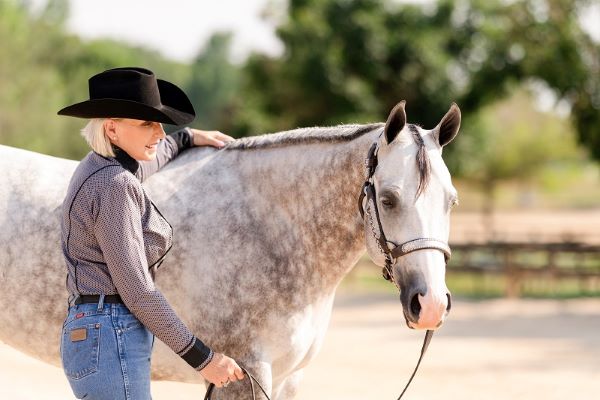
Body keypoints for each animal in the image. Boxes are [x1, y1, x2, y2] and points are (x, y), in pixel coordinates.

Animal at [0, 101, 462, 398]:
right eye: (388, 199)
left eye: (451, 201)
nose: (431, 305)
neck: (270, 227)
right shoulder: (245, 373)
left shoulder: (288, 378)